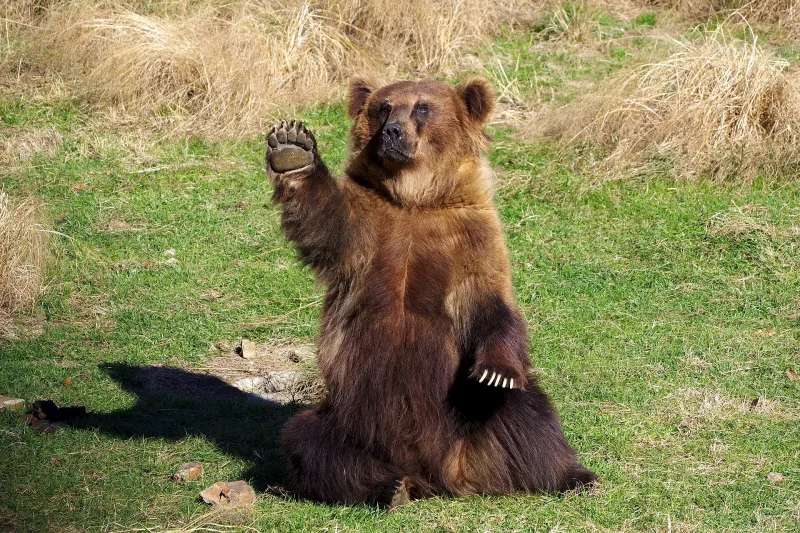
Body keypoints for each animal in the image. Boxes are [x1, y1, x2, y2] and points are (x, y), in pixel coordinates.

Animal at [265, 77, 597, 507]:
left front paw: (495, 372)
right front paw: (292, 149)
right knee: (309, 442)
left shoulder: (470, 237)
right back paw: (384, 488)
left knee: (530, 421)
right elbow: (325, 221)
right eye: (384, 107)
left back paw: (573, 475)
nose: (393, 131)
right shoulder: (366, 226)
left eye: (422, 107)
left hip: (468, 418)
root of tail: (432, 475)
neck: (415, 199)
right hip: (348, 417)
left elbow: (490, 303)